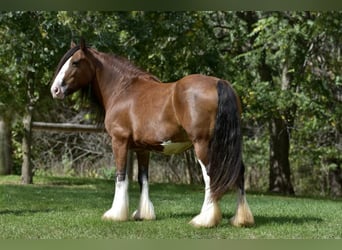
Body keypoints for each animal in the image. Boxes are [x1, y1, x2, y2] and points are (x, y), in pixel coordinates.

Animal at [50, 39, 254, 229]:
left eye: (75, 62)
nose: (55, 90)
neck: (123, 90)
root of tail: (219, 82)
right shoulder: (142, 149)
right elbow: (143, 179)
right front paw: (143, 214)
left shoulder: (119, 142)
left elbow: (121, 176)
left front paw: (115, 214)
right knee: (239, 172)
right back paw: (241, 219)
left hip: (203, 145)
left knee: (210, 177)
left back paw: (204, 220)